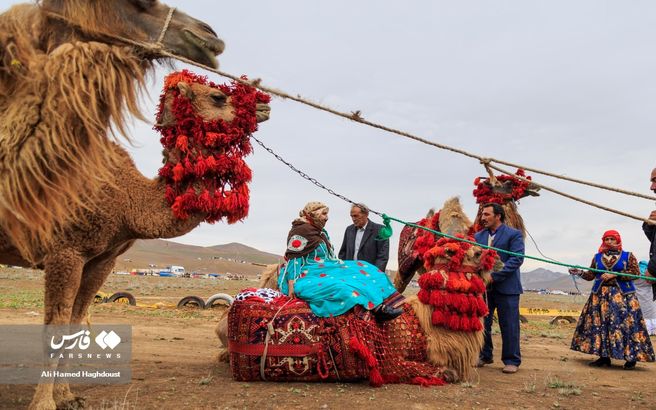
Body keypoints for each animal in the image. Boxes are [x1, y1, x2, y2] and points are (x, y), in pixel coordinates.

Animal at [0, 71, 270, 410]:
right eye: (218, 96)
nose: (264, 104)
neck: (127, 200)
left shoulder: (101, 259)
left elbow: (75, 323)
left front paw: (67, 397)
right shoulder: (65, 251)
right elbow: (57, 329)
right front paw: (43, 404)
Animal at [215, 197, 502, 386]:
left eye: (472, 231)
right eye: (450, 249)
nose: (487, 255)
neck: (422, 322)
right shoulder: (393, 360)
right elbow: (443, 373)